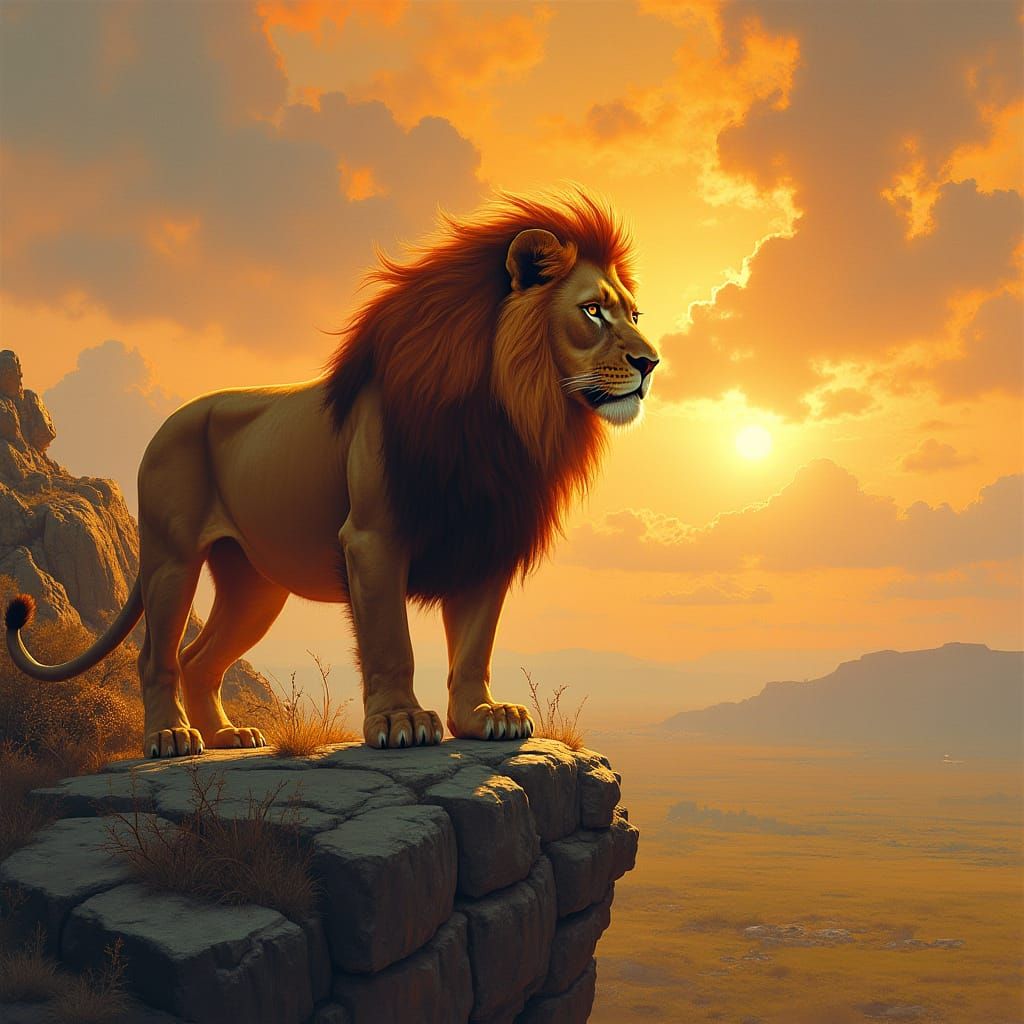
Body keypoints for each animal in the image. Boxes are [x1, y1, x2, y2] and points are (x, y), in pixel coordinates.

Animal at [5, 189, 659, 757]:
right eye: (593, 311)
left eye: (632, 313)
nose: (651, 362)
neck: (506, 413)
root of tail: (169, 420)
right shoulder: (372, 539)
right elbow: (391, 640)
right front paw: (400, 721)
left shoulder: (485, 535)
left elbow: (476, 644)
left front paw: (483, 717)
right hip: (171, 559)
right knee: (157, 655)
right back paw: (170, 737)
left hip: (254, 585)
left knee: (200, 658)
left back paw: (228, 736)